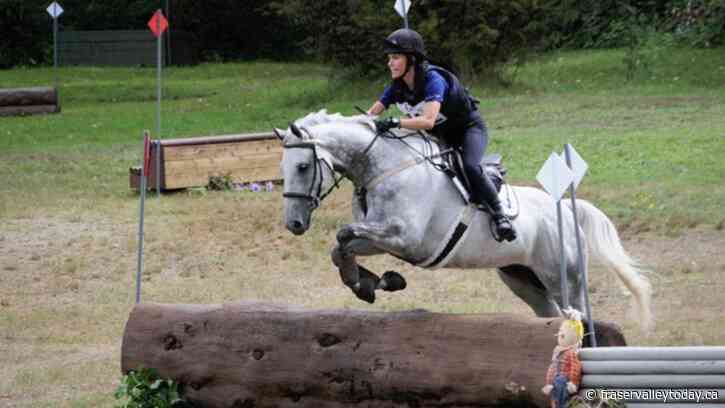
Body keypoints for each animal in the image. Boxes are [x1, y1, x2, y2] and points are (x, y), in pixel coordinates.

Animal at [274, 110, 653, 333]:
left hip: (565, 276)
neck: (383, 167)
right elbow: (341, 245)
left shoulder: (404, 237)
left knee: (577, 313)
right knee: (549, 313)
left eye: (303, 167)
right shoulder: (380, 238)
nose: (294, 224)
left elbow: (343, 234)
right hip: (523, 278)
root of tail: (568, 210)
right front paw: (367, 283)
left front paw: (375, 281)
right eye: (283, 169)